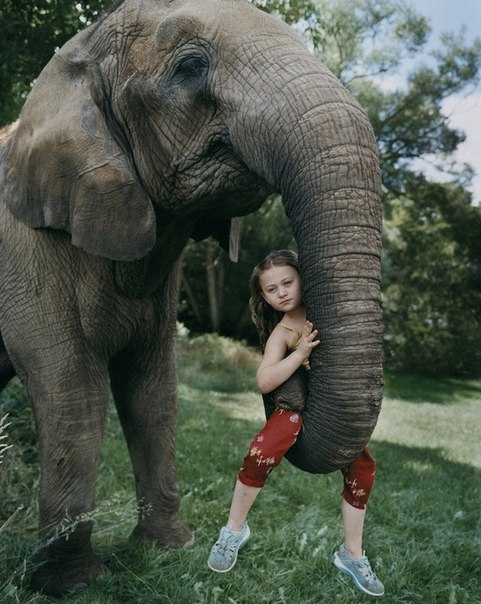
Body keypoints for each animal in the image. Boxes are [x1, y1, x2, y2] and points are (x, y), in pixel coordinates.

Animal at [0, 0, 382, 596]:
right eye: (190, 68)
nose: (287, 396)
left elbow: (155, 388)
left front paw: (167, 548)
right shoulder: (29, 250)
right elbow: (73, 389)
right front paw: (71, 583)